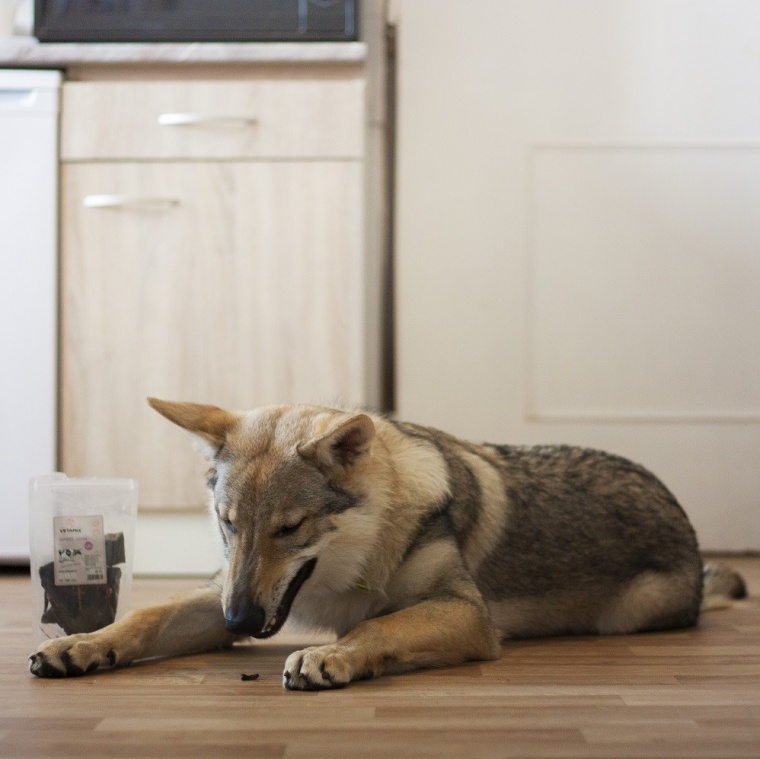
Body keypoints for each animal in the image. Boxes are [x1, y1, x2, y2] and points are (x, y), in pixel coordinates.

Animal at [26, 400, 744, 692]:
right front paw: (80, 644)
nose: (239, 623)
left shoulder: (466, 614)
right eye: (229, 524)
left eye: (290, 527)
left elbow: (377, 628)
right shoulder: (219, 591)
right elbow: (144, 616)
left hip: (632, 612)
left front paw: (331, 657)